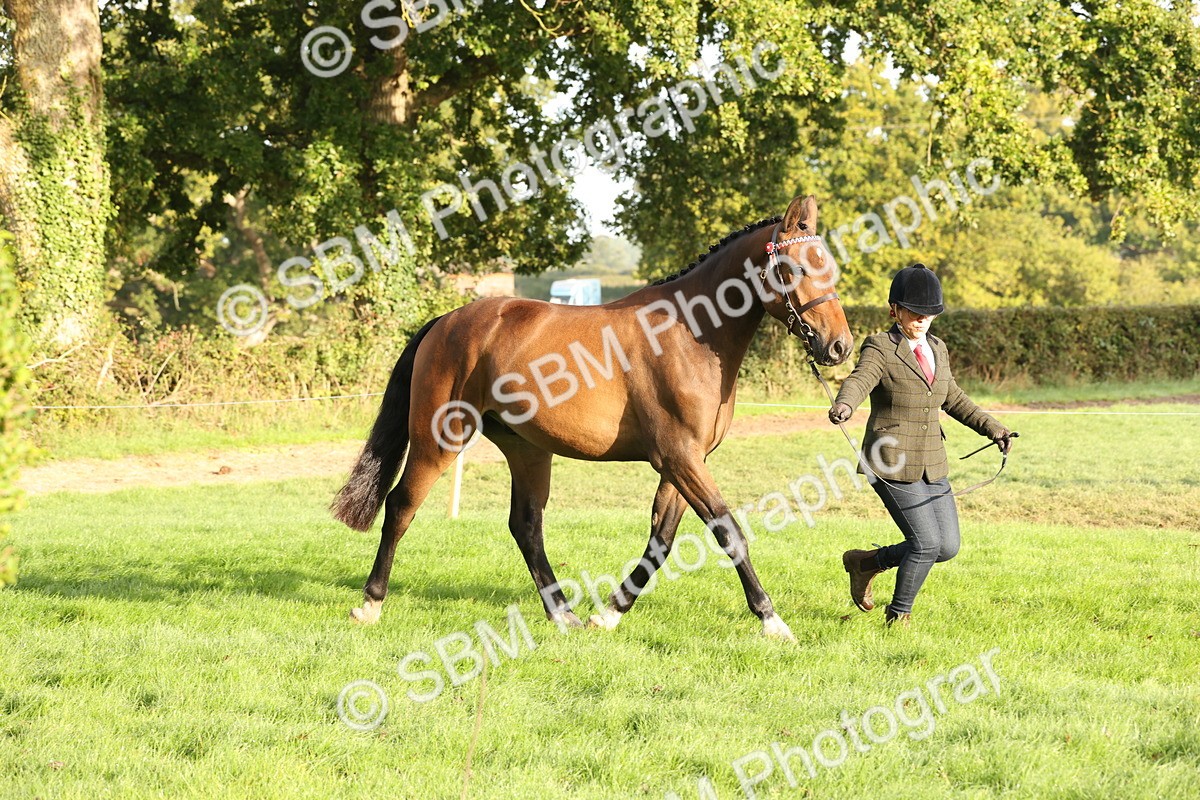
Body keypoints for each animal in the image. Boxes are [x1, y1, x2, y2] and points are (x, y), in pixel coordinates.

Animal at [332, 195, 853, 640]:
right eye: (798, 267)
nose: (838, 347)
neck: (690, 334)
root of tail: (446, 321)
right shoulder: (681, 458)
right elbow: (729, 532)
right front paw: (772, 621)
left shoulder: (683, 463)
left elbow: (661, 539)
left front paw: (610, 614)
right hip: (439, 439)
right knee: (401, 506)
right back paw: (370, 604)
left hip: (526, 448)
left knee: (526, 525)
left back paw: (564, 614)